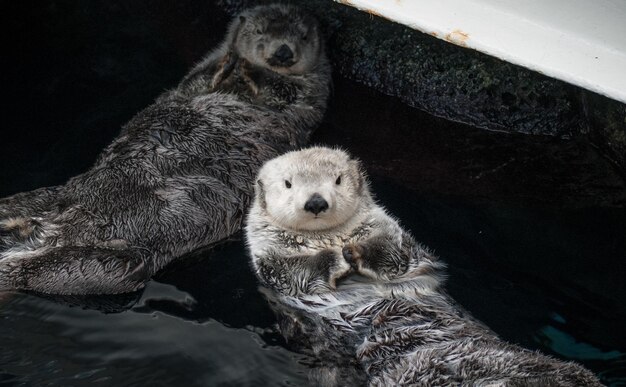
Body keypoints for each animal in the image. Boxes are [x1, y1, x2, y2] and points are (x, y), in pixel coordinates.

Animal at [0, 4, 332, 296]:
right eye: (260, 31)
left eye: (303, 36)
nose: (283, 53)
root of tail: (56, 230)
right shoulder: (196, 77)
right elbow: (203, 77)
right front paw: (231, 62)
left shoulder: (309, 94)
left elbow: (282, 90)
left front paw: (251, 69)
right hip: (54, 199)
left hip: (116, 264)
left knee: (44, 268)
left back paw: (9, 267)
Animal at [244, 146, 600, 387]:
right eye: (288, 184)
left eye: (338, 179)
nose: (316, 202)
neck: (328, 237)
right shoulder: (274, 266)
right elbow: (300, 273)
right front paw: (336, 259)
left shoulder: (400, 241)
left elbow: (396, 255)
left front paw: (359, 251)